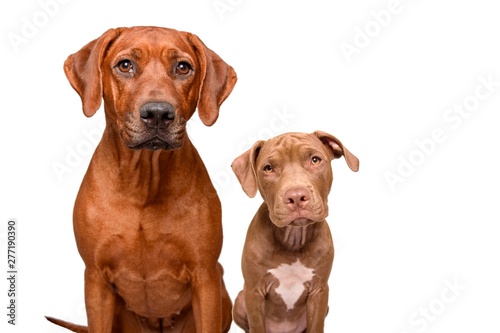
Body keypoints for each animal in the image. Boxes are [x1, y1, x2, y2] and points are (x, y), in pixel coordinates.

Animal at [45, 26, 236, 332]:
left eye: (183, 67)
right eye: (125, 65)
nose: (158, 113)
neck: (144, 182)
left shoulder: (205, 277)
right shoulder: (96, 279)